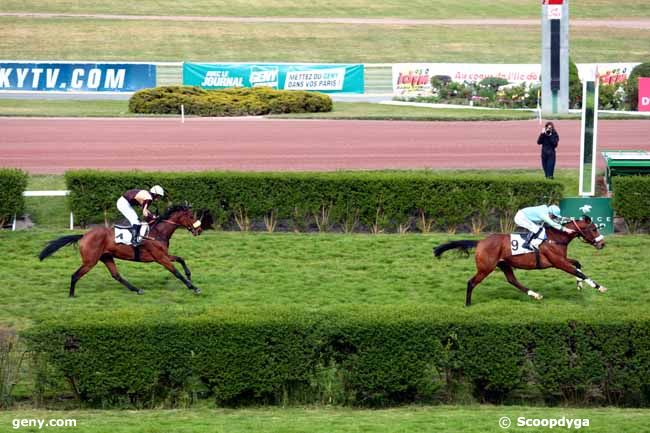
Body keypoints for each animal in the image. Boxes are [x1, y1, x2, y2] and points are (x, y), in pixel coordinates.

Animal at [39, 204, 201, 296]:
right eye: (191, 216)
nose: (199, 230)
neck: (157, 232)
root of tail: (84, 235)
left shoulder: (163, 255)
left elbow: (181, 259)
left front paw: (189, 275)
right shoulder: (160, 258)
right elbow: (176, 272)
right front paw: (193, 287)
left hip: (106, 257)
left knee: (116, 275)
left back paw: (137, 289)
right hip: (90, 261)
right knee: (75, 275)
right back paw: (71, 295)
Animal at [432, 215, 604, 304]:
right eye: (593, 229)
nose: (602, 244)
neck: (556, 238)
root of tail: (480, 242)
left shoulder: (562, 259)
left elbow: (577, 265)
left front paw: (580, 285)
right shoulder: (558, 262)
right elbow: (578, 271)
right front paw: (599, 287)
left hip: (504, 265)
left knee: (512, 280)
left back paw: (535, 294)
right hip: (486, 267)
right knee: (471, 282)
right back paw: (468, 304)